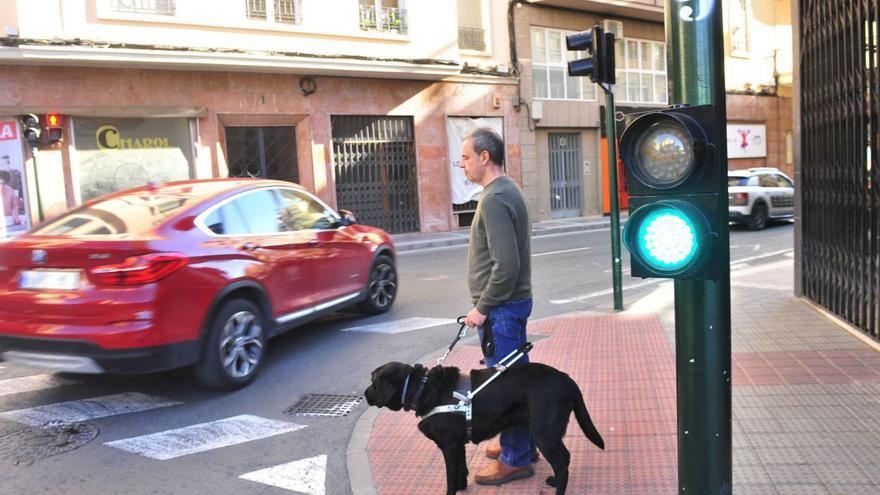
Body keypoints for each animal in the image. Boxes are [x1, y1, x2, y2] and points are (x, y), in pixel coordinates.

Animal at [364, 360, 604, 495]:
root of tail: (568, 379)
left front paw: (452, 490)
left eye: (373, 383)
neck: (423, 388)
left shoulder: (449, 445)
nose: (364, 395)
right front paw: (462, 487)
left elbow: (450, 476)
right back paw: (554, 481)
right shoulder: (457, 444)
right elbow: (461, 469)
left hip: (544, 433)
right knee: (565, 458)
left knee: (562, 464)